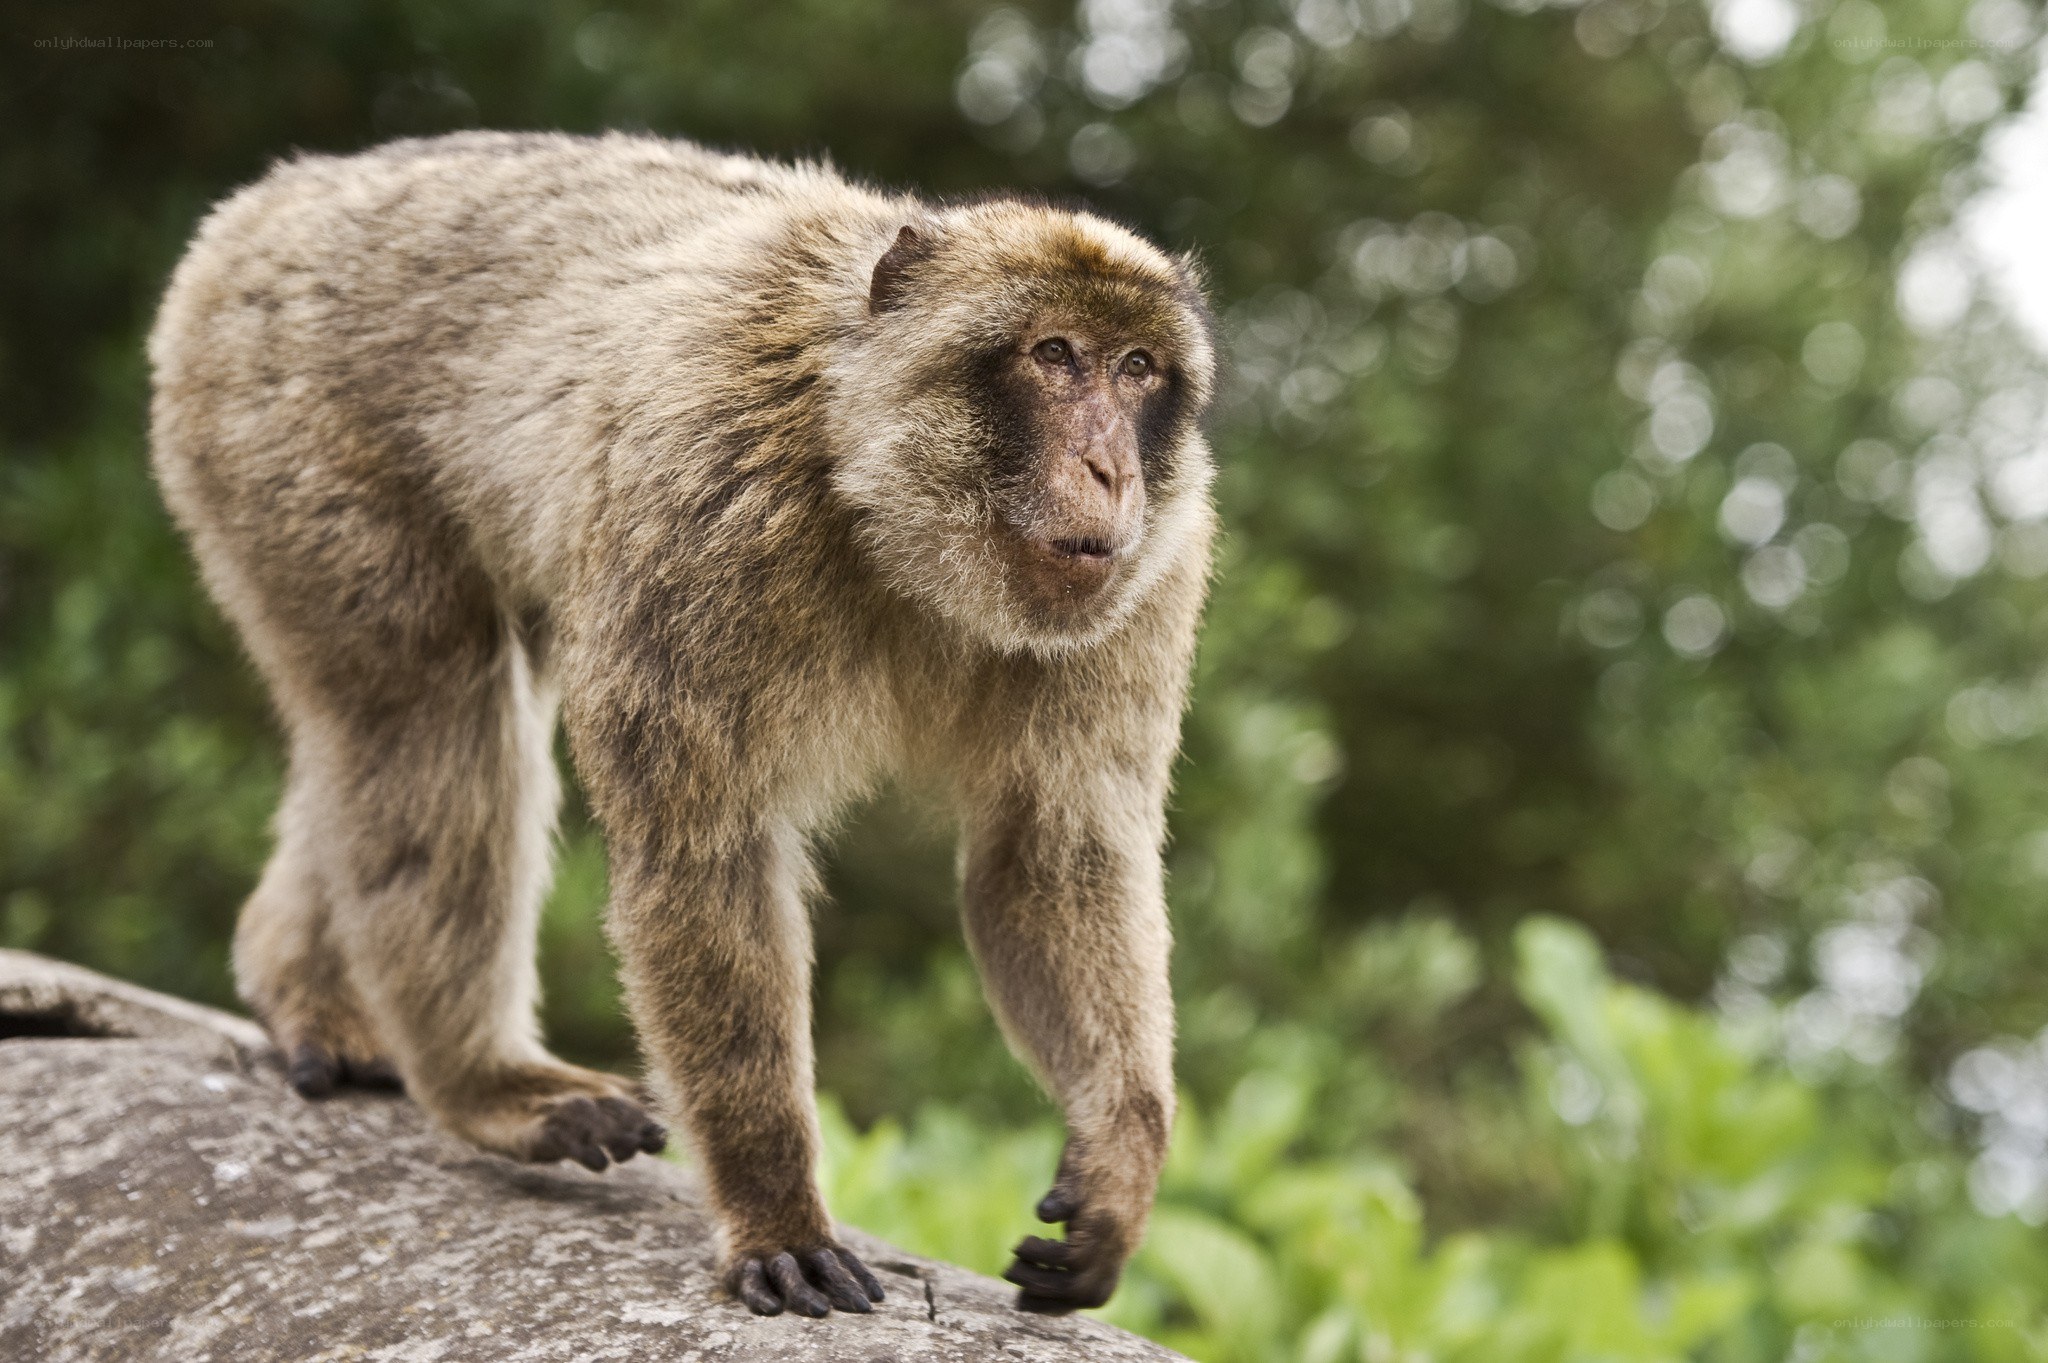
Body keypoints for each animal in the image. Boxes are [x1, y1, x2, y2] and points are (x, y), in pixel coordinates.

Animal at [147, 130, 1216, 1319]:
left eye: (1137, 370)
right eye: (1055, 355)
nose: (1110, 469)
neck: (868, 471)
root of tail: (281, 193)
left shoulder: (1152, 577)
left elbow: (1049, 858)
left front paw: (1118, 1161)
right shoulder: (702, 502)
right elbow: (702, 853)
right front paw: (775, 1210)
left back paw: (305, 994)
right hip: (273, 419)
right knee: (422, 701)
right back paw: (480, 1080)